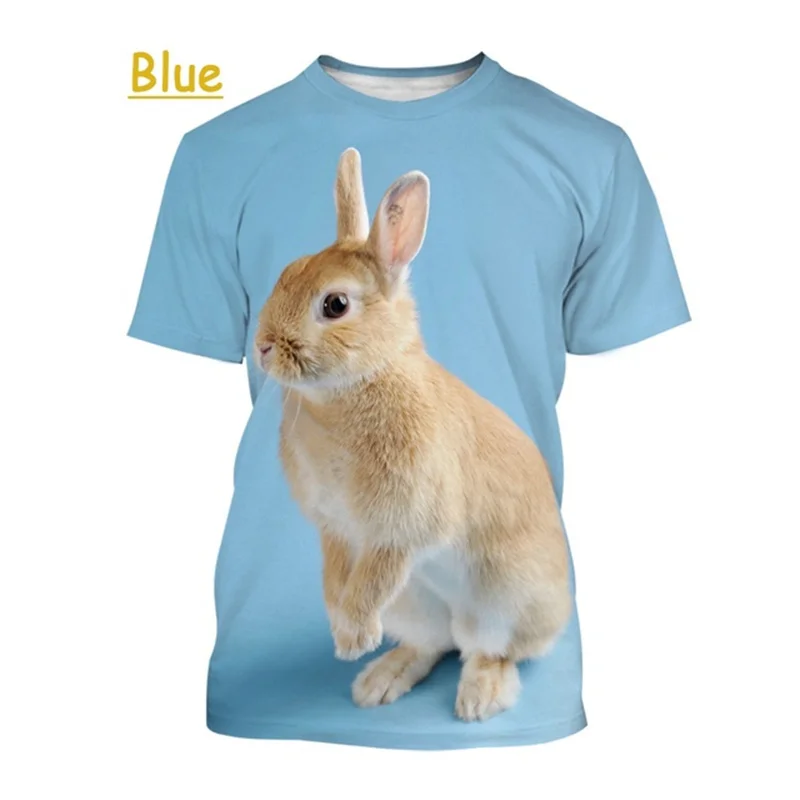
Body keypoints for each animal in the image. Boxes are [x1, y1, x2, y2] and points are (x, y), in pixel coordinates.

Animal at [254, 148, 571, 721]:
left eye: (335, 305)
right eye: (286, 270)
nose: (263, 346)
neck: (352, 390)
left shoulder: (401, 527)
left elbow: (376, 573)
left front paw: (352, 637)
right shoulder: (336, 528)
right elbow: (336, 573)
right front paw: (344, 632)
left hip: (504, 600)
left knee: (489, 650)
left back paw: (479, 698)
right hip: (415, 605)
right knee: (434, 644)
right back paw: (379, 678)